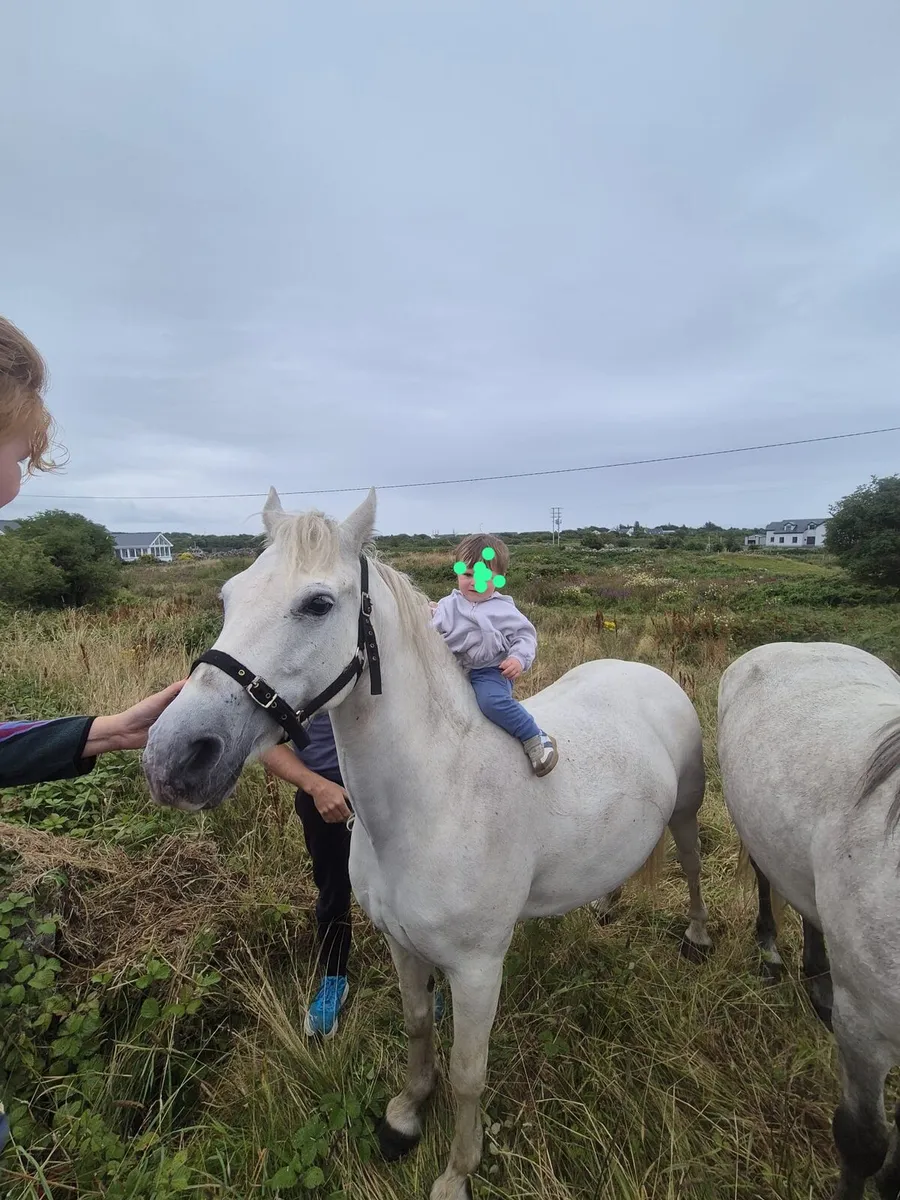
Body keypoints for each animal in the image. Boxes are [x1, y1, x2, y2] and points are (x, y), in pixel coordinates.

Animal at [143, 488, 712, 1200]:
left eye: (317, 604)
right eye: (227, 597)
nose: (175, 757)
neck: (436, 798)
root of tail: (644, 671)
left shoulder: (477, 969)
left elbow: (469, 1073)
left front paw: (457, 1171)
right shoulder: (401, 944)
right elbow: (417, 1027)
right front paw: (406, 1117)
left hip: (687, 810)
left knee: (691, 861)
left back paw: (697, 938)